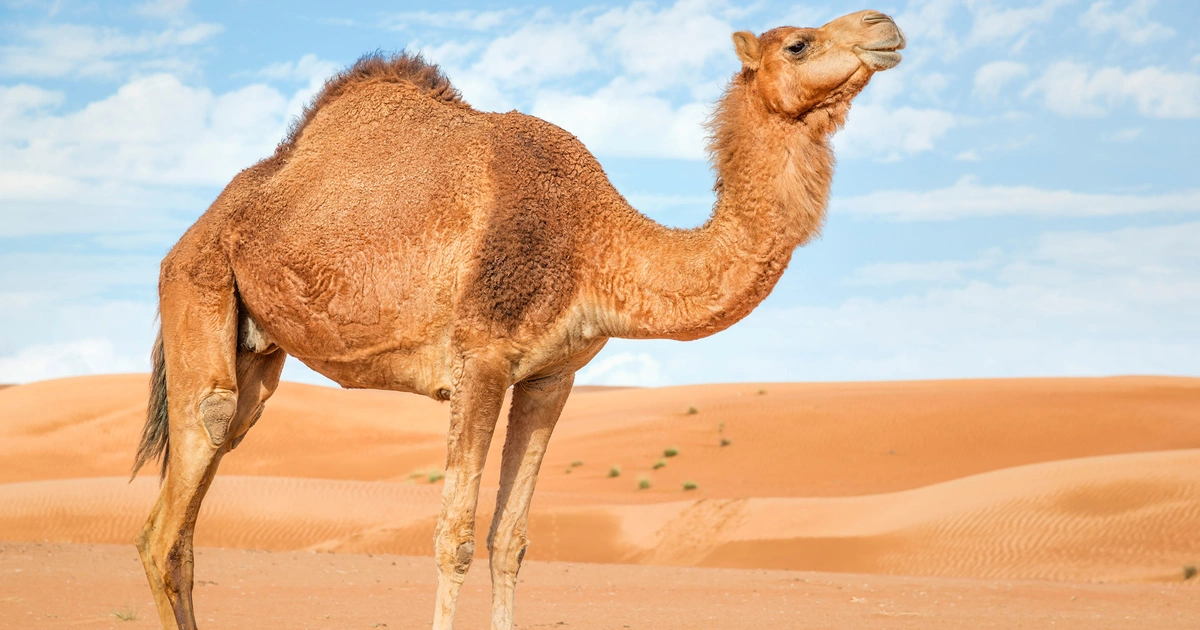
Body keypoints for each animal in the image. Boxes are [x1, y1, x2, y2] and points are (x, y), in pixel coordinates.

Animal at [129, 9, 904, 629]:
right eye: (799, 43)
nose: (885, 25)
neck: (592, 240)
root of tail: (188, 236)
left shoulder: (549, 376)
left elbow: (511, 541)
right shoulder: (481, 360)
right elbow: (454, 539)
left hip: (255, 351)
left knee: (191, 508)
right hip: (198, 286)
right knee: (180, 491)